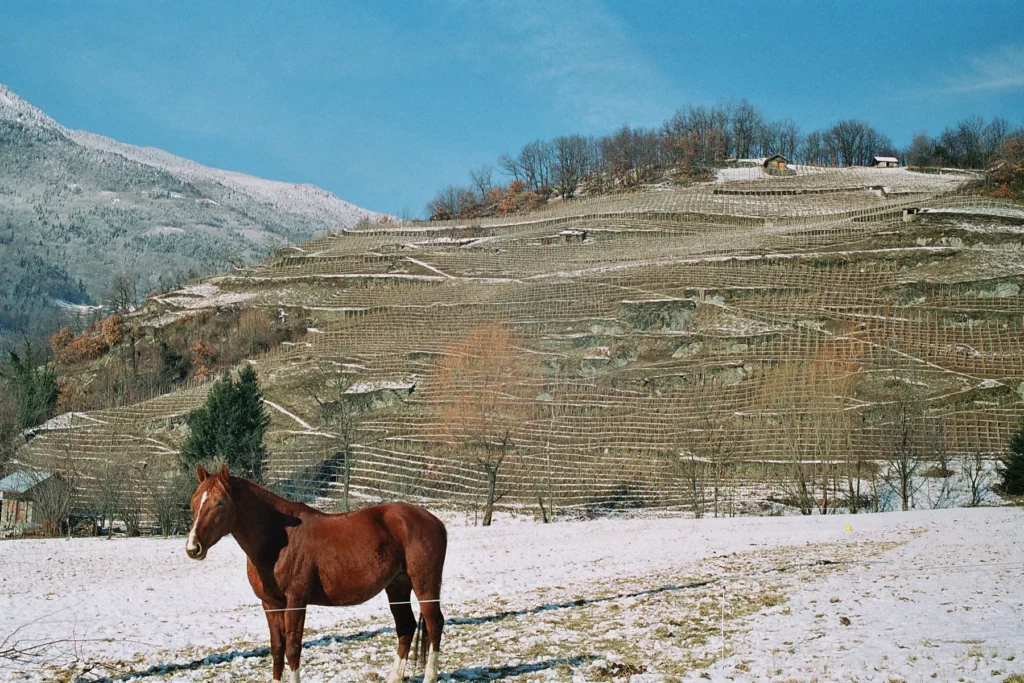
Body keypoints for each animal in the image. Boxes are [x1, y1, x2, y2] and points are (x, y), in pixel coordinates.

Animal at [185, 464, 447, 683]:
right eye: (194, 501)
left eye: (220, 502)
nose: (192, 547)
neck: (280, 539)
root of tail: (434, 520)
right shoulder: (270, 604)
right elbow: (277, 649)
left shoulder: (296, 602)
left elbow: (292, 648)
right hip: (397, 586)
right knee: (406, 627)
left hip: (425, 585)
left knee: (434, 624)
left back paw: (429, 677)